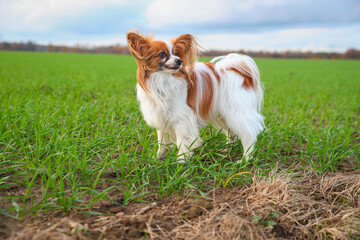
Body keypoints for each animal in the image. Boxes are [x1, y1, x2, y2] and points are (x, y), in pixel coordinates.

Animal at [126, 30, 264, 161]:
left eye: (176, 53)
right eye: (161, 54)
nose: (179, 61)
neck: (163, 80)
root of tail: (241, 73)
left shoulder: (183, 118)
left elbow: (182, 141)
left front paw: (181, 161)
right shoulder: (161, 118)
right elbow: (162, 142)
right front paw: (158, 157)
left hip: (236, 112)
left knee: (249, 133)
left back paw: (245, 159)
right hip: (223, 114)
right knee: (232, 132)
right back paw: (227, 150)